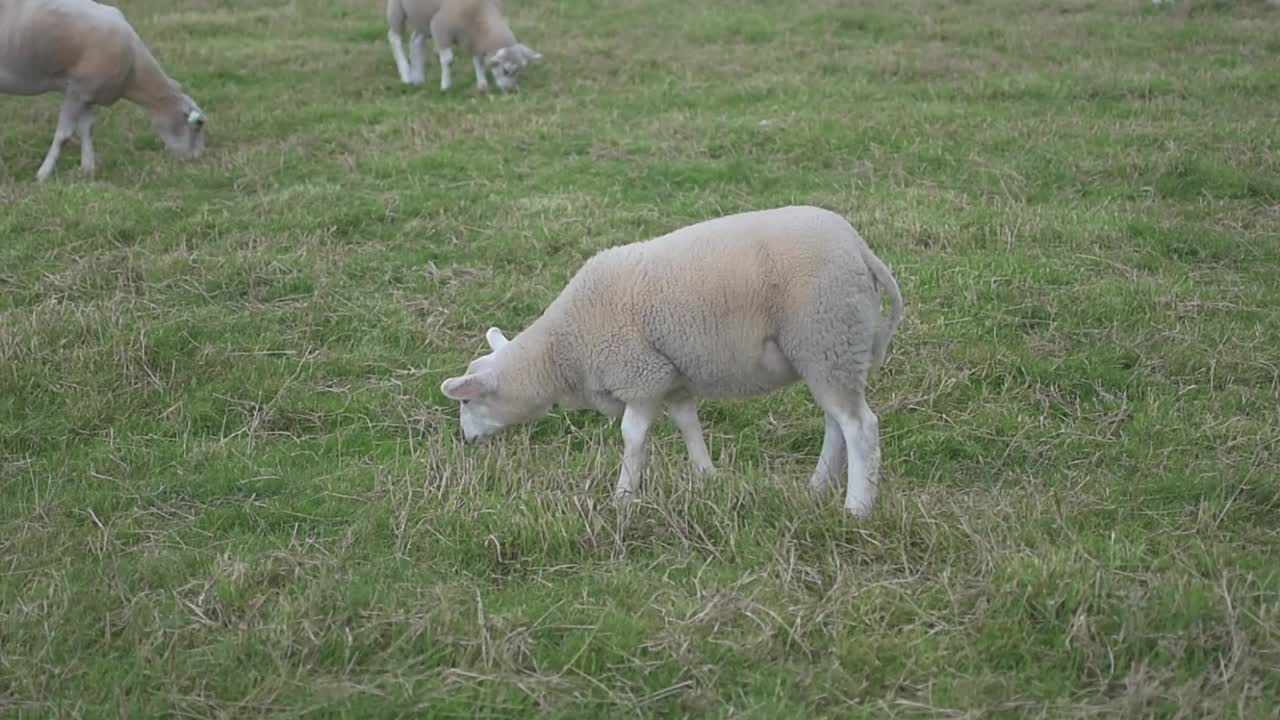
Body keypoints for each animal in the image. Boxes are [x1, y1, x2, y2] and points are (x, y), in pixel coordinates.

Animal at [0, 0, 204, 181]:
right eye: (199, 124)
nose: (197, 158)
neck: (133, 70)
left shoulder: (88, 94)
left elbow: (87, 129)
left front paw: (87, 169)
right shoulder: (76, 91)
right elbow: (64, 135)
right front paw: (43, 175)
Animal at [381, 0, 537, 92]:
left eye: (519, 70)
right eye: (506, 70)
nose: (510, 90)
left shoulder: (474, 39)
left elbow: (477, 60)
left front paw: (482, 84)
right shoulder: (440, 28)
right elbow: (448, 60)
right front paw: (445, 86)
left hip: (424, 18)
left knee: (416, 41)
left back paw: (418, 78)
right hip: (397, 9)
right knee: (394, 38)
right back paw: (406, 75)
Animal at [445, 204, 906, 512]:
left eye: (466, 401)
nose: (465, 441)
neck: (564, 349)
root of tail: (861, 250)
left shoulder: (641, 375)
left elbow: (632, 436)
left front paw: (622, 497)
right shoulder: (675, 378)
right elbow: (689, 425)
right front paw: (706, 477)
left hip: (827, 336)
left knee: (860, 427)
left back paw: (856, 508)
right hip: (830, 352)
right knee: (837, 422)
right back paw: (817, 486)